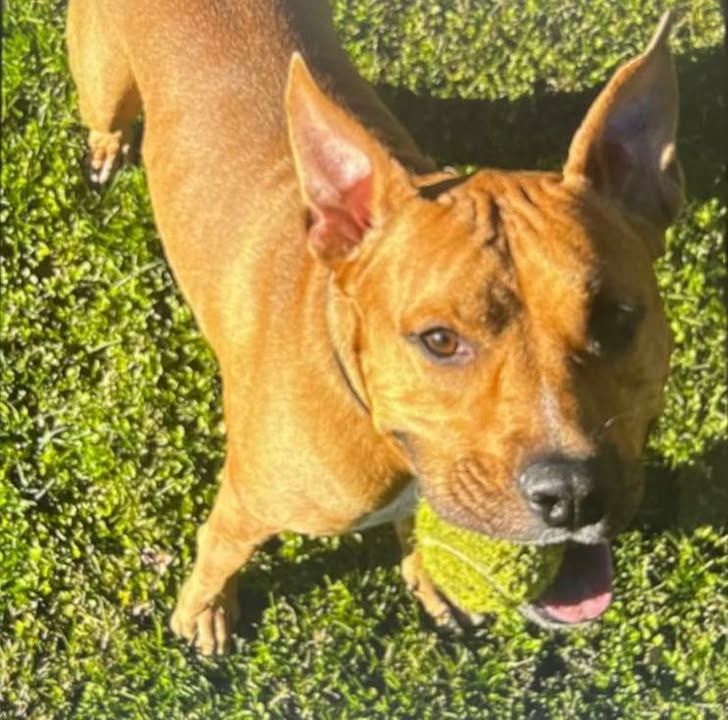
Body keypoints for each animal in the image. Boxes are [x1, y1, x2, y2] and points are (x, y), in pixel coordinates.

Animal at [67, 1, 683, 654]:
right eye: (439, 340)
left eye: (617, 318)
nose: (572, 493)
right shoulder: (245, 506)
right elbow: (217, 556)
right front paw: (203, 613)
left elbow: (415, 526)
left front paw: (429, 578)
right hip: (103, 84)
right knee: (107, 116)